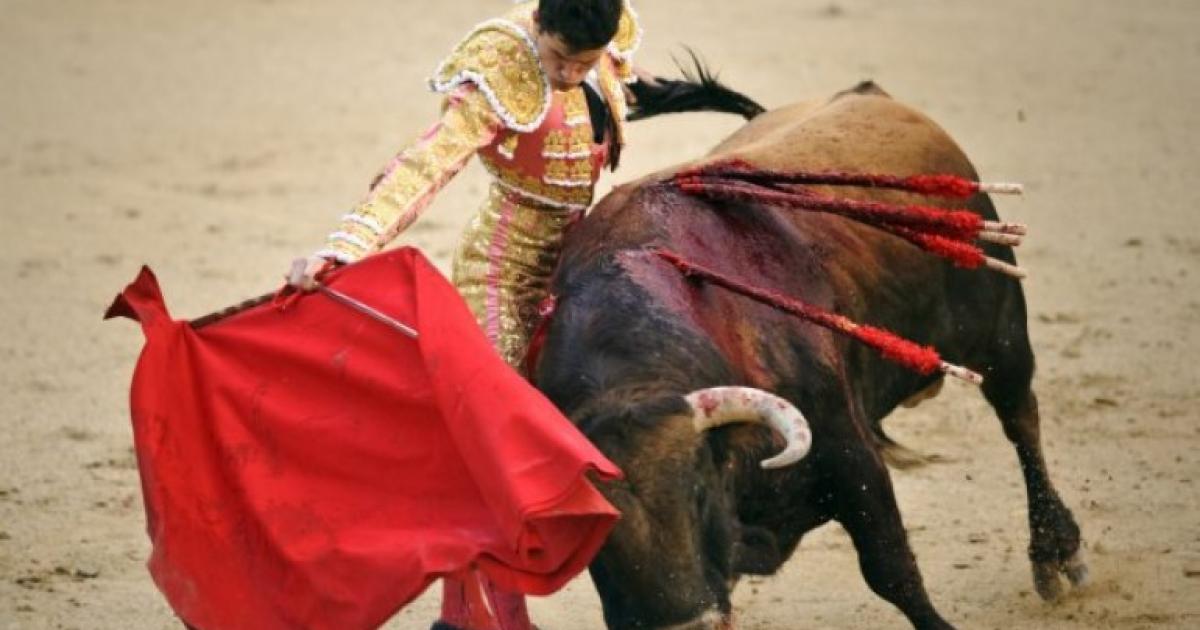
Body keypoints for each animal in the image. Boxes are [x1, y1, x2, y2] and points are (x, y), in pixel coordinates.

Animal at [535, 81, 1089, 624]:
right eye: (595, 532)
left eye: (698, 492)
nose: (686, 622)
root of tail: (870, 93)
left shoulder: (850, 453)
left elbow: (892, 571)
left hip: (1001, 333)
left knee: (1020, 421)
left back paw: (1056, 555)